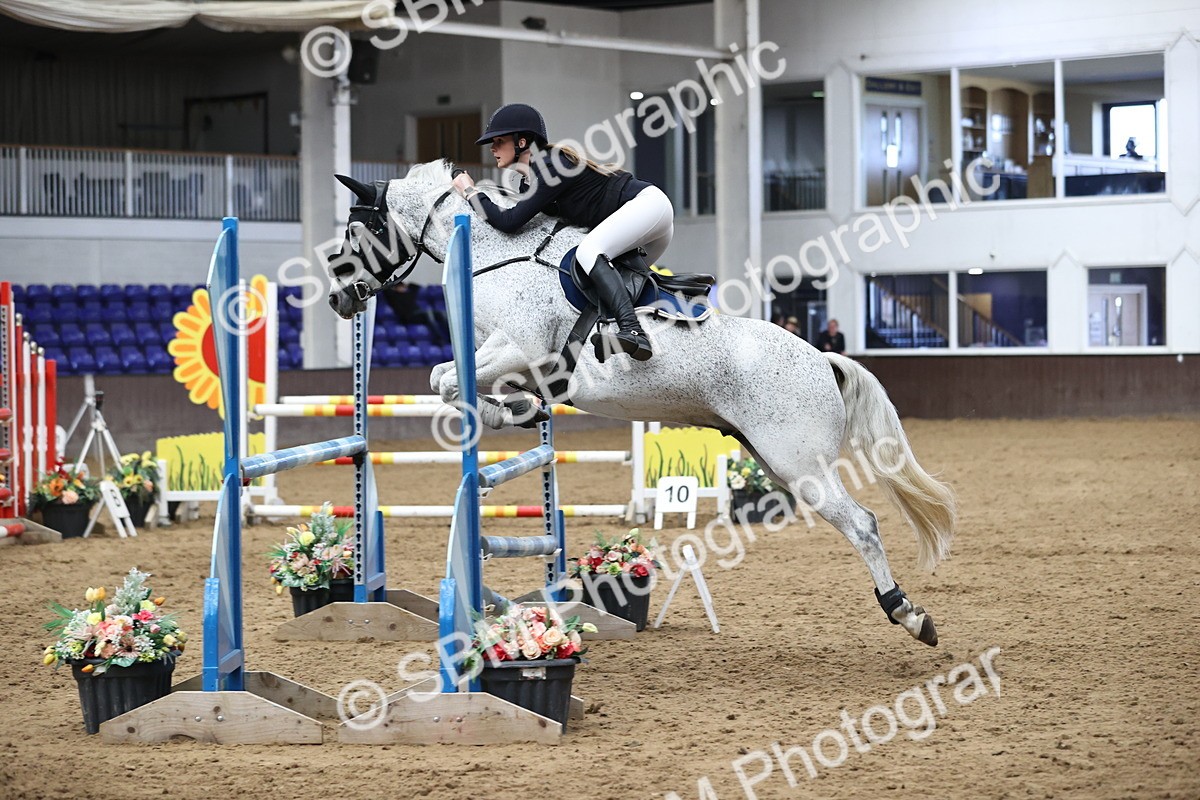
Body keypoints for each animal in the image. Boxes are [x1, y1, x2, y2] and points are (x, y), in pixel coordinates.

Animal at [326, 160, 956, 647]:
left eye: (359, 229)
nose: (336, 299)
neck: (490, 252)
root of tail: (822, 360)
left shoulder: (519, 347)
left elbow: (449, 382)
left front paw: (505, 412)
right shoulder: (507, 356)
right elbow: (449, 378)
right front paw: (518, 411)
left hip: (800, 463)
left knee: (863, 524)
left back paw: (908, 613)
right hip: (776, 459)